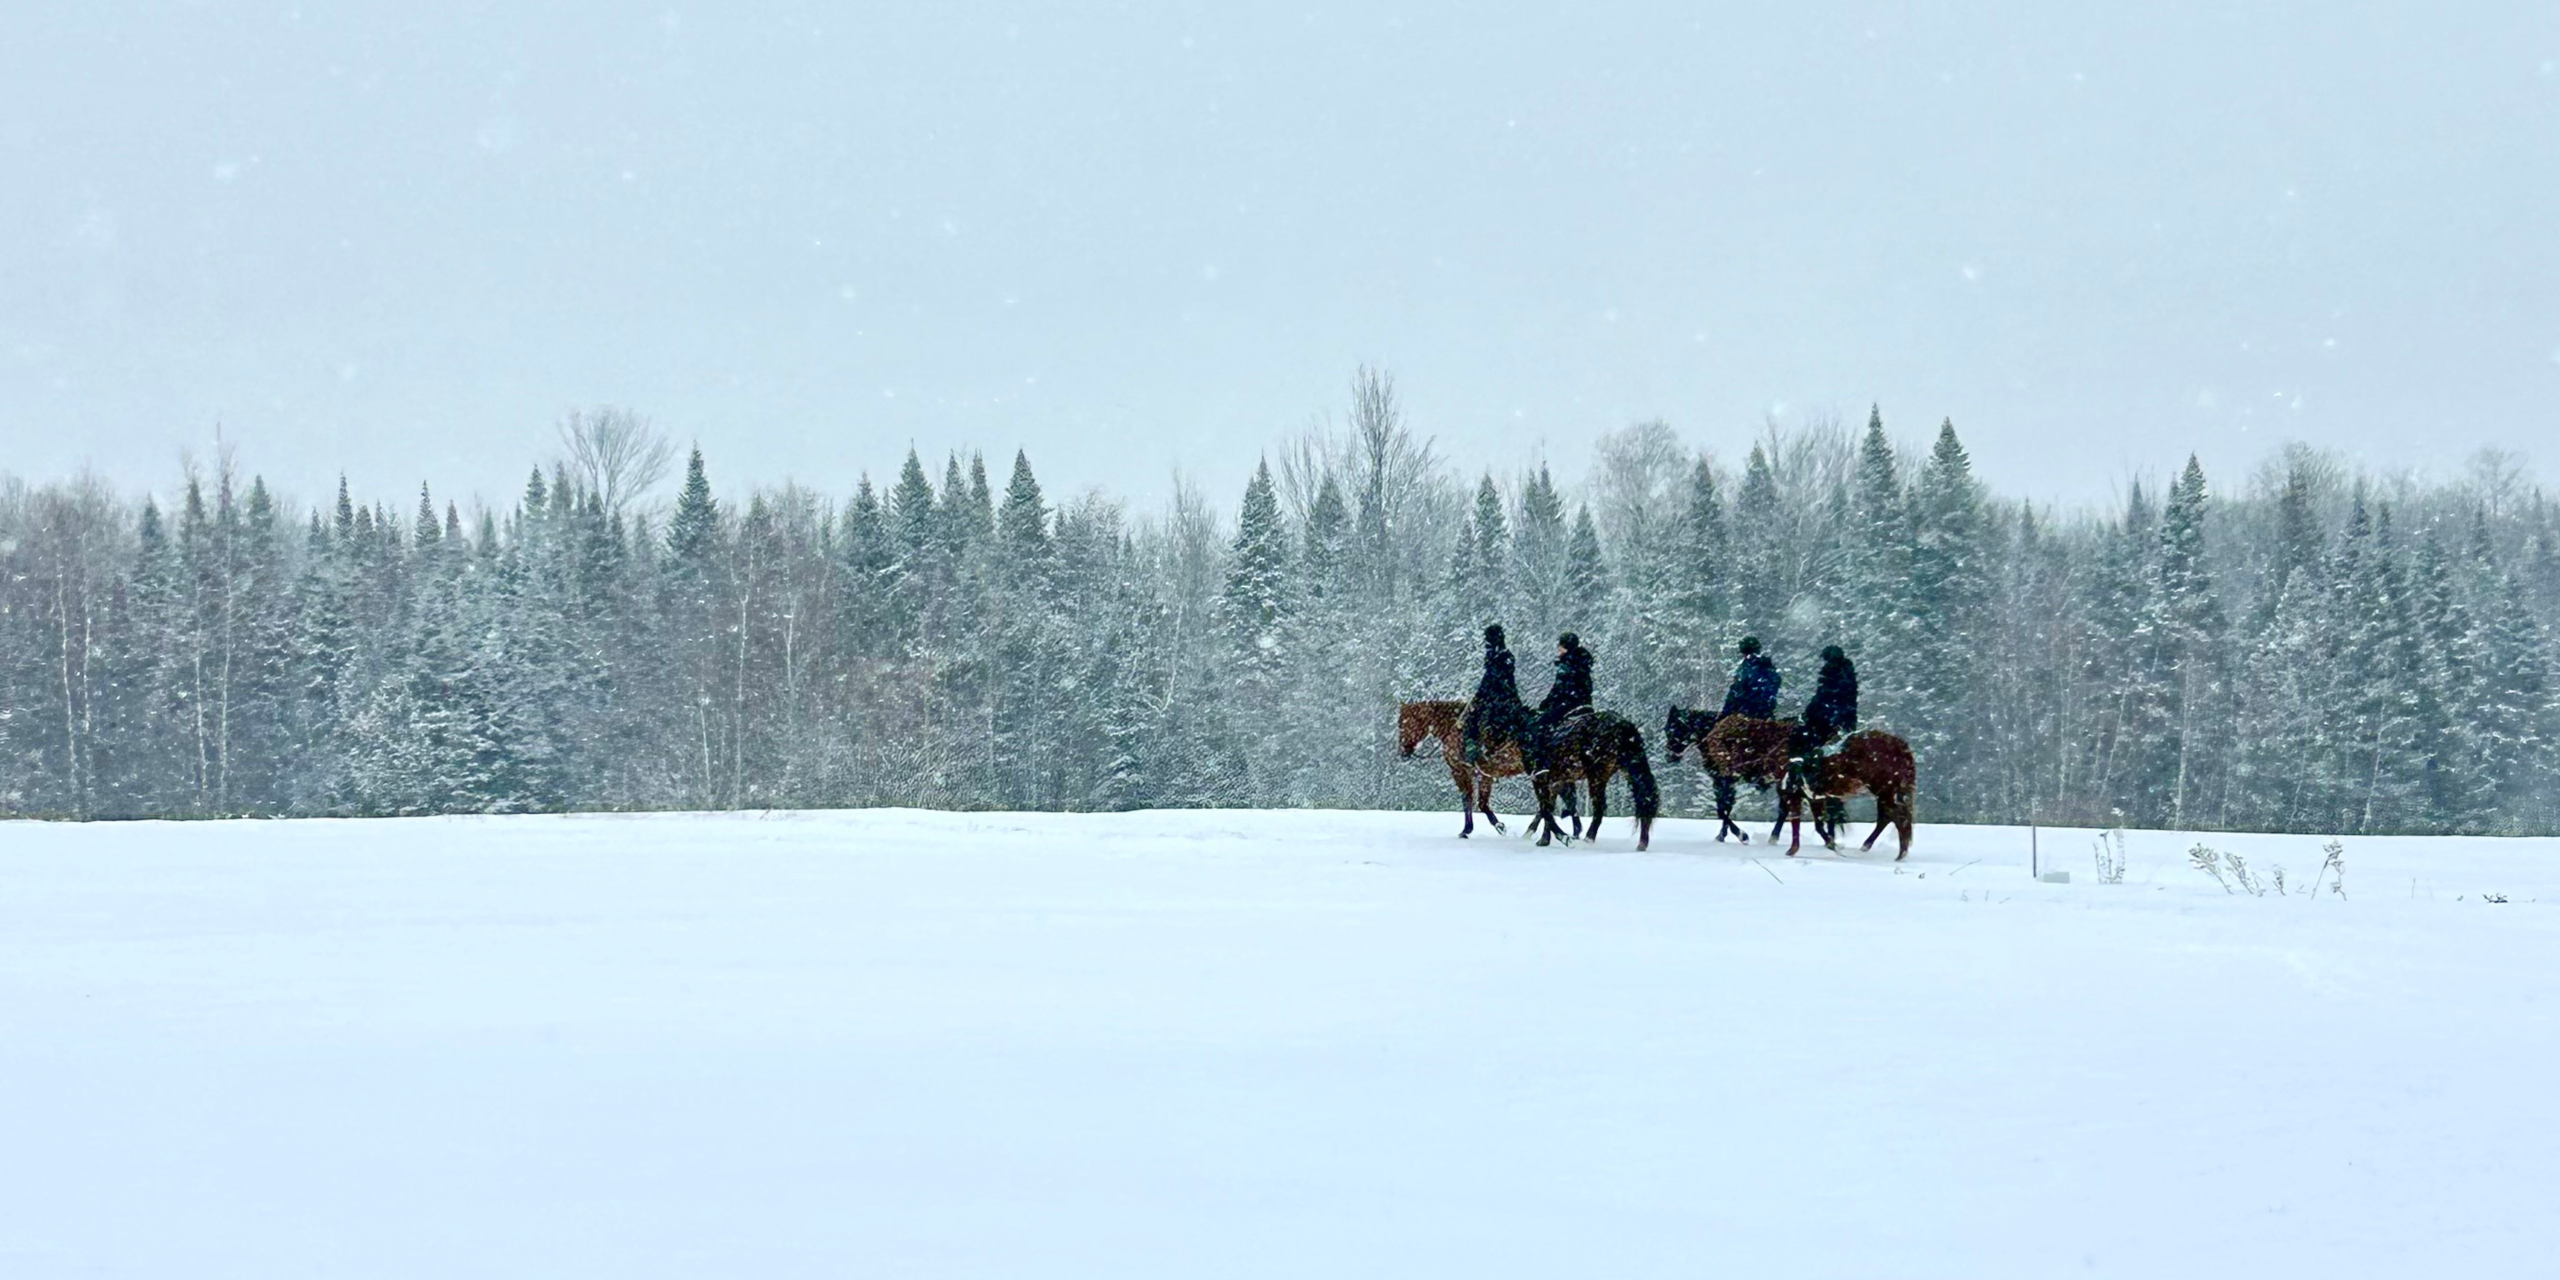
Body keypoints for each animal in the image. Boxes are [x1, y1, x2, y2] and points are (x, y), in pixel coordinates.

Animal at [1397, 699, 1578, 838]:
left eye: (1405, 723)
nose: (1403, 752)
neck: (1455, 728)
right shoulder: (1483, 774)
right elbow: (1478, 802)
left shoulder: (1463, 772)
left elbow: (1472, 801)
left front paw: (1479, 829)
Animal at [1522, 710, 1659, 851]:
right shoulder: (1557, 781)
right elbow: (1551, 808)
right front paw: (1545, 839)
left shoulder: (1540, 779)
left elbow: (1546, 809)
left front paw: (1564, 838)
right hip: (1626, 772)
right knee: (1645, 800)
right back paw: (1642, 843)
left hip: (1597, 776)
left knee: (1600, 807)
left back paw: (1588, 839)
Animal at [1778, 729, 1917, 858]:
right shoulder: (1814, 799)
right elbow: (1817, 825)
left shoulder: (1794, 798)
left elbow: (1799, 825)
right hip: (1886, 793)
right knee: (1888, 818)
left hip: (1887, 792)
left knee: (1897, 818)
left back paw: (1899, 854)